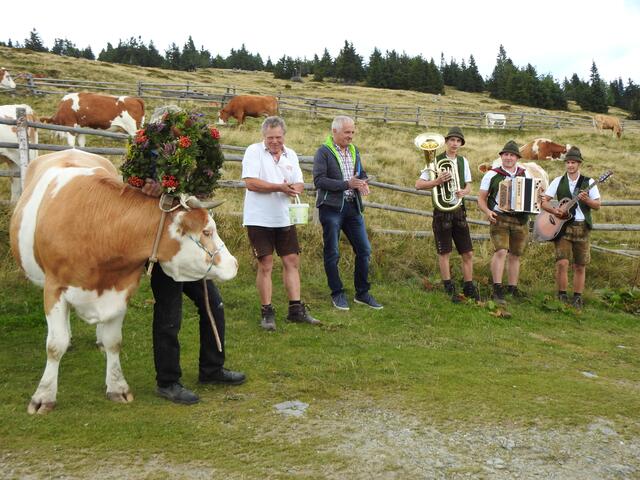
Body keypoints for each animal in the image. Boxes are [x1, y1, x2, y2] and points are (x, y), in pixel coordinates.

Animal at [9, 149, 238, 414]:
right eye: (207, 231)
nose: (234, 264)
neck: (98, 229)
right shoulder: (54, 288)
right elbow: (55, 345)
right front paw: (43, 396)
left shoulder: (120, 289)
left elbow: (114, 341)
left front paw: (117, 387)